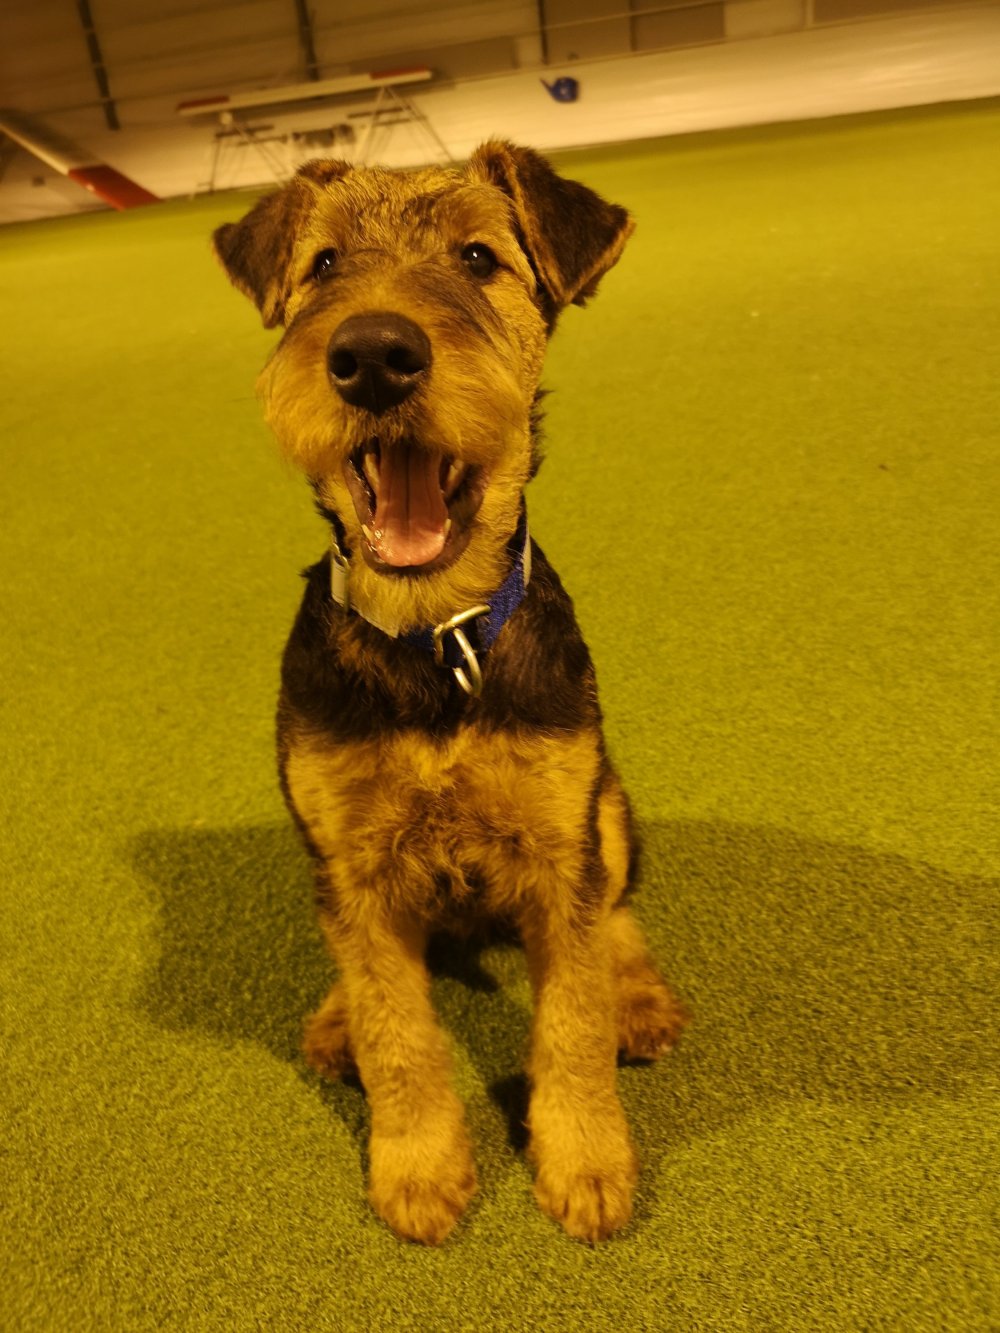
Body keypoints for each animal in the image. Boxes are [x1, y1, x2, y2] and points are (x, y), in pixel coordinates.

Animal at [213, 141, 686, 1245]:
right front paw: (419, 1171)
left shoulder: (557, 845)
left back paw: (639, 997)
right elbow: (398, 1029)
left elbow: (571, 1020)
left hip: (607, 803)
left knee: (617, 912)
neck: (432, 639)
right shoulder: (352, 860)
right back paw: (334, 1019)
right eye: (323, 264)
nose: (374, 355)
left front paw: (586, 1165)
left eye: (478, 257)